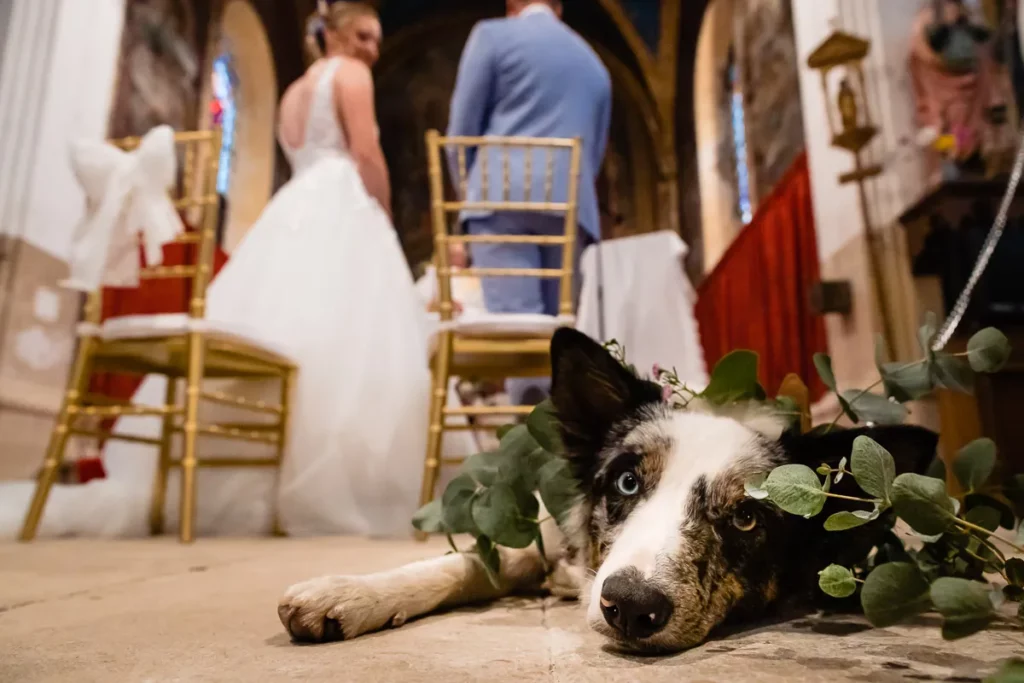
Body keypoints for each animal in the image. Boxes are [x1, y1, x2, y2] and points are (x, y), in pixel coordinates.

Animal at [276, 327, 937, 655]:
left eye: (747, 520)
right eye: (626, 480)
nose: (631, 607)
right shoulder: (551, 541)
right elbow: (471, 563)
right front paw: (351, 593)